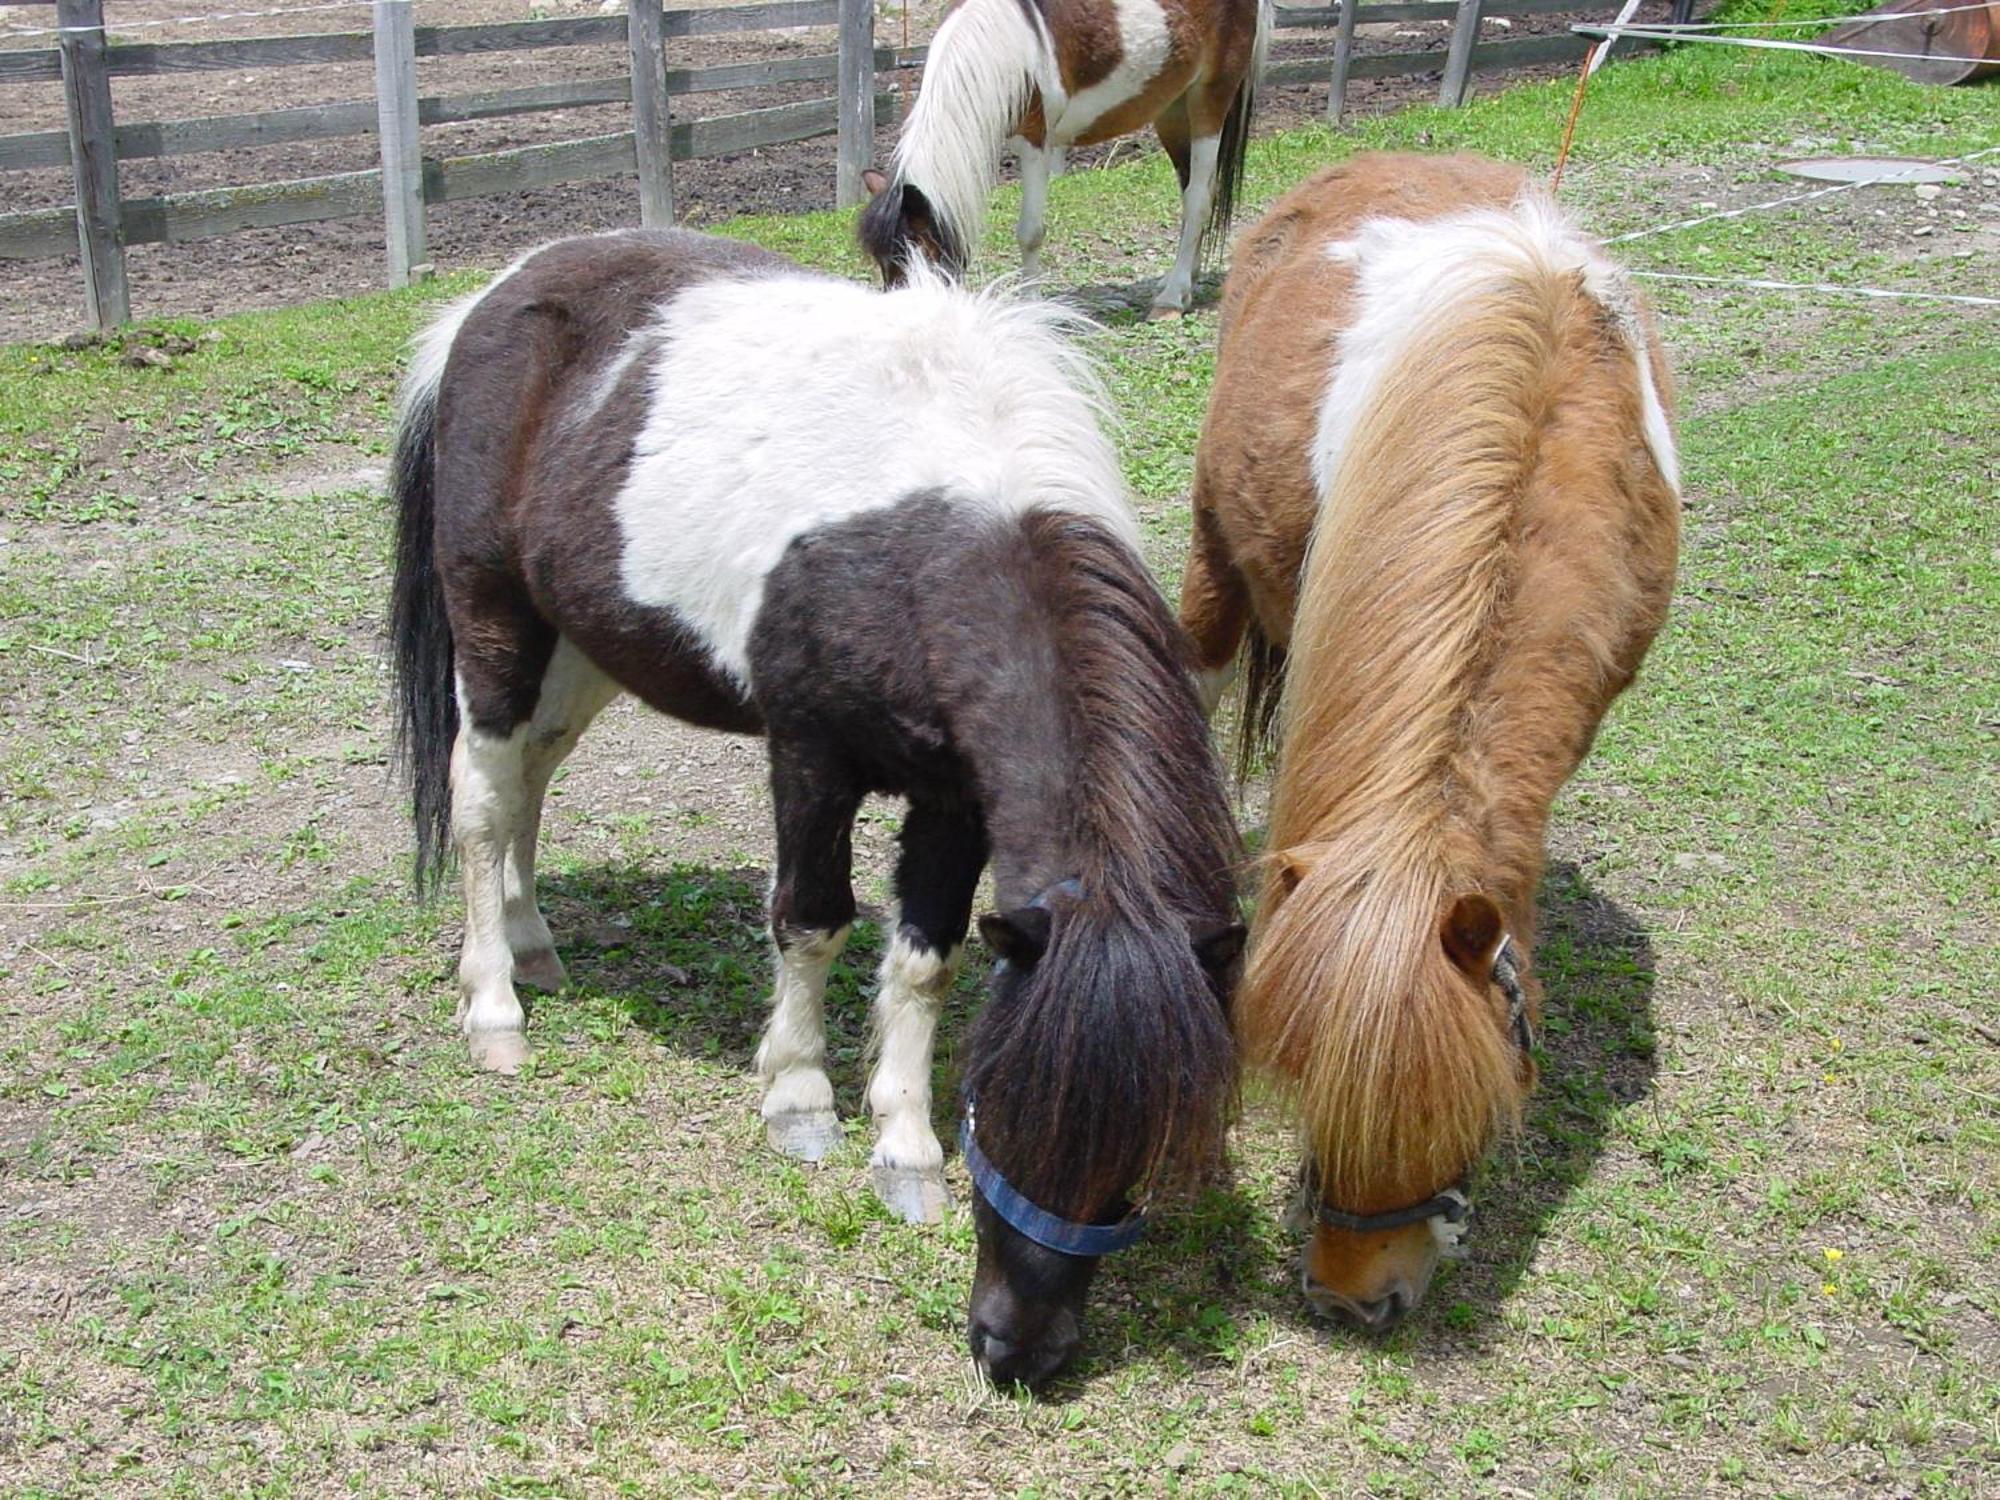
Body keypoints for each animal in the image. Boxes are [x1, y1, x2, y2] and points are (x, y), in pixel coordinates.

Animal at [382, 229, 1240, 1392]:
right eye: (1008, 1100)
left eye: (1136, 1153)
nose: (1016, 1350)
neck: (930, 534)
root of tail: (487, 300)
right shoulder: (810, 758)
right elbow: (812, 920)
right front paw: (797, 1097)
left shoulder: (954, 798)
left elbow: (922, 961)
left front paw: (903, 1148)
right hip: (496, 622)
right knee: (481, 803)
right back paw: (495, 1010)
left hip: (582, 645)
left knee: (530, 784)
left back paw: (533, 946)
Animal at [856, 0, 1264, 314]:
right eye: (883, 264)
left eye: (919, 254)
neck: (1006, 41)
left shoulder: (1037, 142)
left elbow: (1030, 233)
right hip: (1172, 110)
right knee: (1191, 187)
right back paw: (1186, 277)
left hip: (1210, 98)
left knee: (1199, 199)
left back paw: (1172, 298)